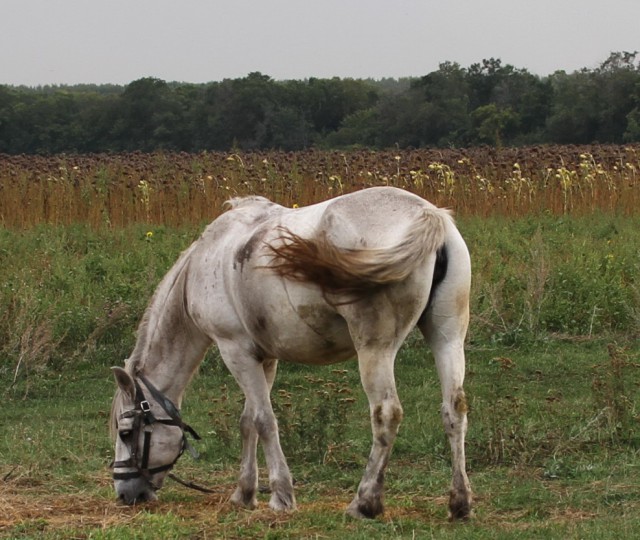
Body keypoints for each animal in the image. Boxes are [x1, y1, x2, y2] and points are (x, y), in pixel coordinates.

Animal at [109, 186, 470, 520]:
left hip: (375, 350)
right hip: (447, 339)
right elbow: (248, 422)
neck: (205, 259)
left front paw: (281, 496)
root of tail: (428, 215)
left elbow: (264, 421)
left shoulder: (235, 351)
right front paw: (244, 493)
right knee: (454, 410)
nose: (125, 493)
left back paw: (365, 502)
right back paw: (460, 503)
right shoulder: (264, 359)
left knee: (386, 414)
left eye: (126, 432)